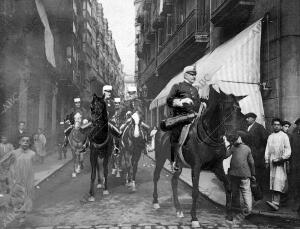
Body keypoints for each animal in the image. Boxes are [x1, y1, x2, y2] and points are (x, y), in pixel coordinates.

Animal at [152, 86, 246, 227]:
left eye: (239, 110)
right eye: (224, 108)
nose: (233, 136)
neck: (208, 136)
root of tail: (160, 130)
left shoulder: (217, 167)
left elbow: (228, 186)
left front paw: (229, 216)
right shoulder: (196, 167)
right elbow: (195, 192)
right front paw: (194, 218)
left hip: (179, 166)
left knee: (174, 181)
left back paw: (178, 209)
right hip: (160, 158)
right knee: (156, 176)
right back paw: (156, 202)